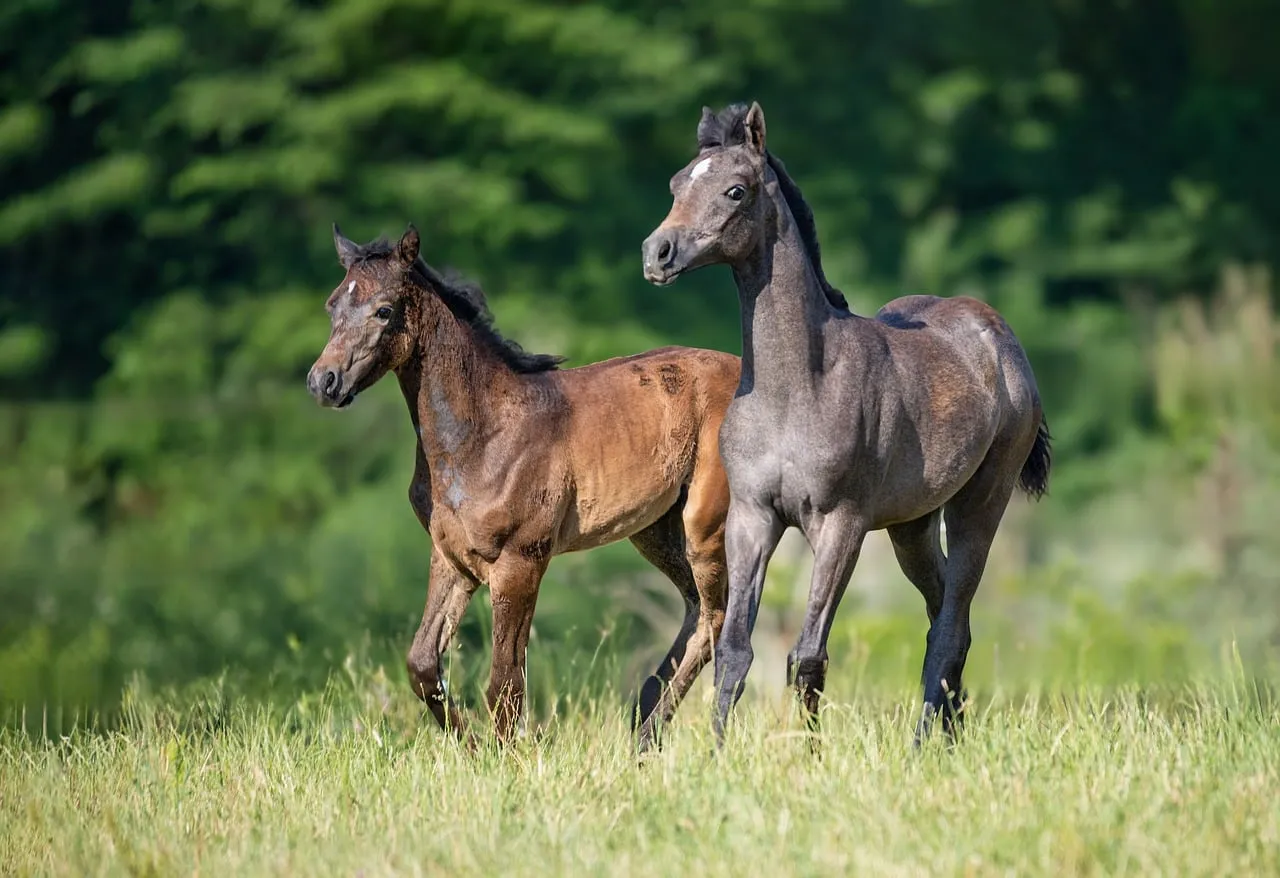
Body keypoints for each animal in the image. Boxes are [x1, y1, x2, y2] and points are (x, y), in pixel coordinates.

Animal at [307, 224, 739, 750]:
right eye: (332, 305)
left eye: (384, 309)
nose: (323, 382)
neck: (482, 434)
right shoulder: (452, 557)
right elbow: (423, 665)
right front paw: (472, 748)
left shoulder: (521, 561)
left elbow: (504, 682)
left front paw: (509, 755)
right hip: (655, 529)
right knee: (695, 606)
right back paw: (643, 716)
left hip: (705, 522)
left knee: (715, 616)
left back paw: (646, 733)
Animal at [641, 102, 1051, 745]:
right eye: (678, 184)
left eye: (736, 190)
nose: (657, 253)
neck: (796, 388)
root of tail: (998, 336)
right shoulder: (753, 518)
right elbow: (734, 650)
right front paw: (717, 752)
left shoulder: (842, 525)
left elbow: (807, 655)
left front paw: (808, 755)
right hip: (912, 526)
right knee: (945, 616)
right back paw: (952, 731)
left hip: (980, 504)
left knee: (950, 625)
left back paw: (924, 745)